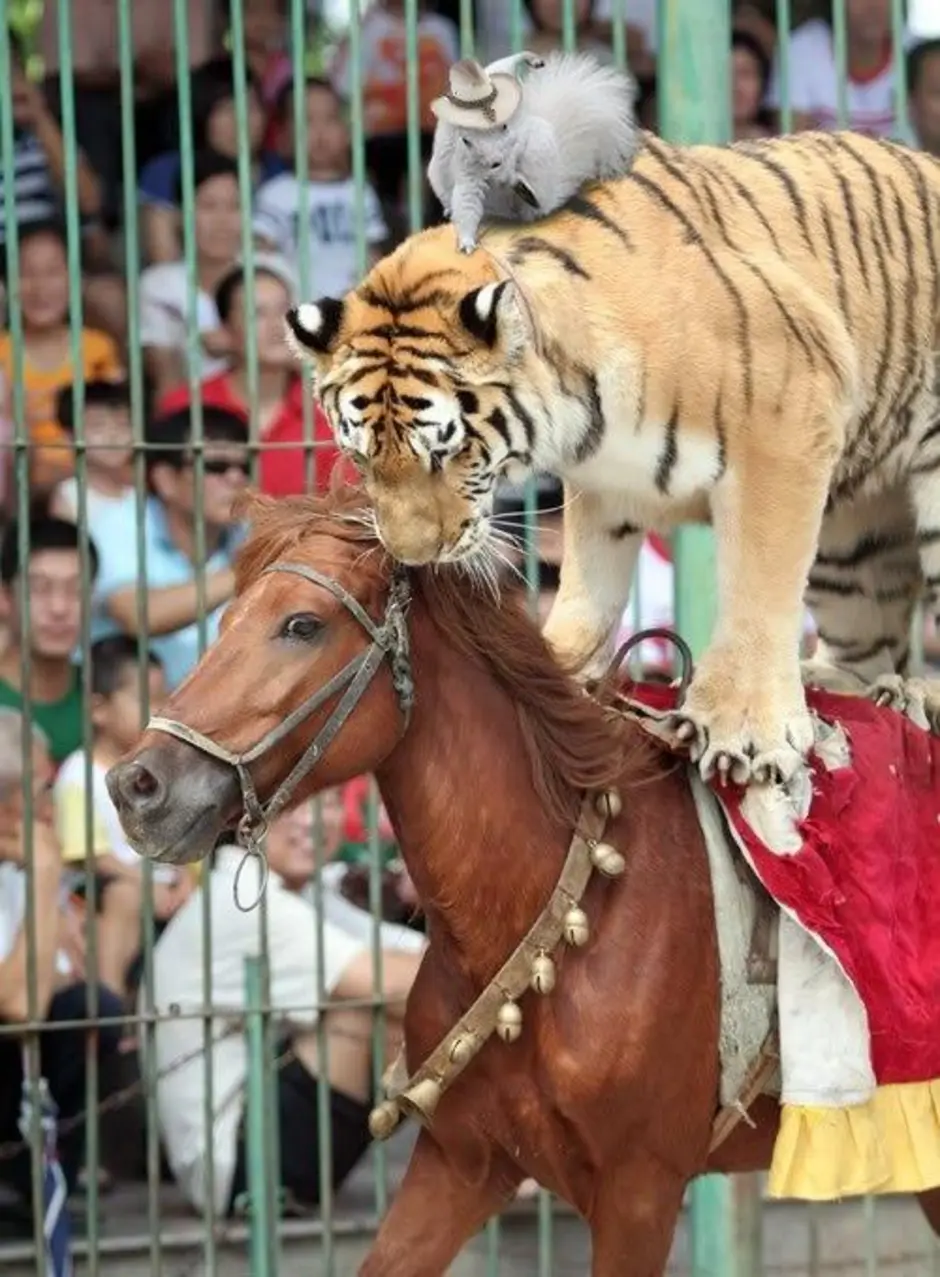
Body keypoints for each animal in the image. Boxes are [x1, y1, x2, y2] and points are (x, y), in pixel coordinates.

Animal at [104, 487, 940, 1277]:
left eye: (302, 625)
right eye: (224, 619)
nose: (136, 785)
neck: (548, 909)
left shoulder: (639, 1190)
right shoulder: (460, 1163)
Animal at [282, 129, 940, 786]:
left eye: (448, 450)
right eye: (361, 457)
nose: (414, 557)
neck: (587, 409)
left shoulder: (784, 429)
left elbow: (758, 587)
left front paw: (744, 730)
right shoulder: (608, 482)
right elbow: (590, 584)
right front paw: (556, 666)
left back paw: (915, 694)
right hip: (848, 537)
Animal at [426, 50, 638, 254]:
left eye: (505, 127)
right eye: (466, 140)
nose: (495, 164)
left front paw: (530, 59)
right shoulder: (468, 169)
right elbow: (467, 202)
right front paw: (466, 242)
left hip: (540, 146)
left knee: (539, 197)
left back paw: (531, 195)